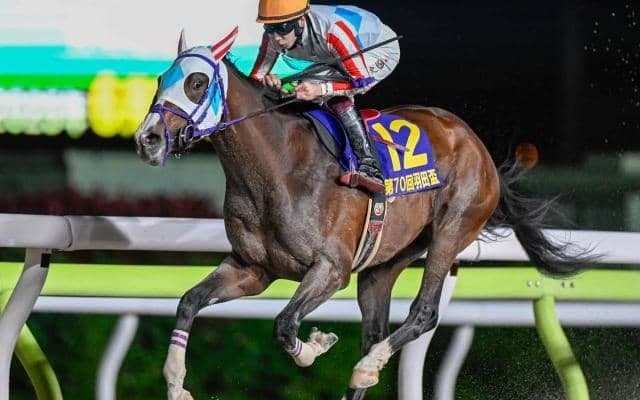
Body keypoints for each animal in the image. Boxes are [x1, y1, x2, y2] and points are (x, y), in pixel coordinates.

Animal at [134, 29, 592, 400]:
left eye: (196, 82)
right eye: (159, 79)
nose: (147, 139)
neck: (277, 167)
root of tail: (478, 146)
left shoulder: (331, 269)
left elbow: (284, 325)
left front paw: (317, 345)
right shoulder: (252, 268)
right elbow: (189, 302)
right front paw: (175, 383)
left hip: (451, 230)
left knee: (422, 314)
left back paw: (368, 367)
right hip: (382, 265)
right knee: (373, 333)